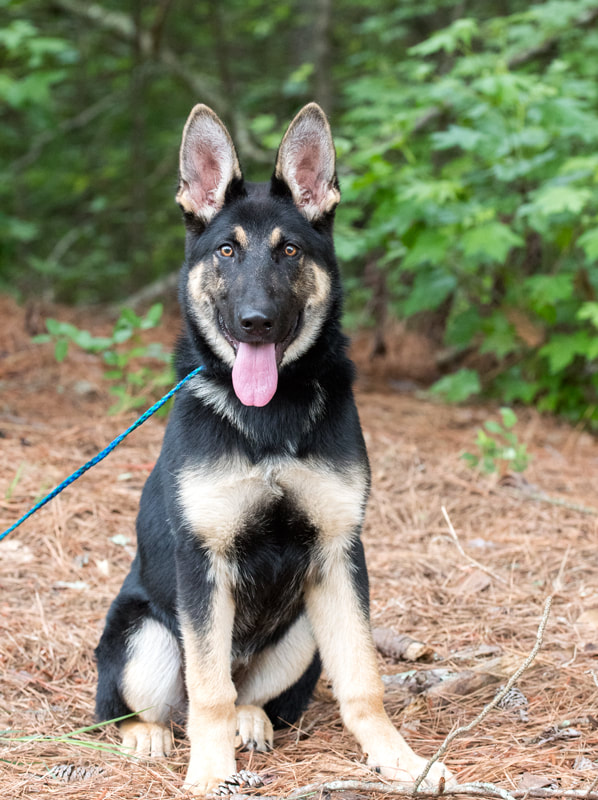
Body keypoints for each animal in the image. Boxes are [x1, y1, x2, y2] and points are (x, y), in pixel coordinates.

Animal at [94, 104, 452, 792]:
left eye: (289, 250)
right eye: (227, 250)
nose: (255, 321)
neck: (271, 419)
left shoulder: (340, 555)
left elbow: (363, 681)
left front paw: (401, 762)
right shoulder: (203, 561)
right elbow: (208, 692)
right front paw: (210, 773)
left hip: (303, 630)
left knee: (249, 694)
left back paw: (252, 722)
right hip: (143, 635)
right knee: (146, 705)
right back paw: (148, 735)